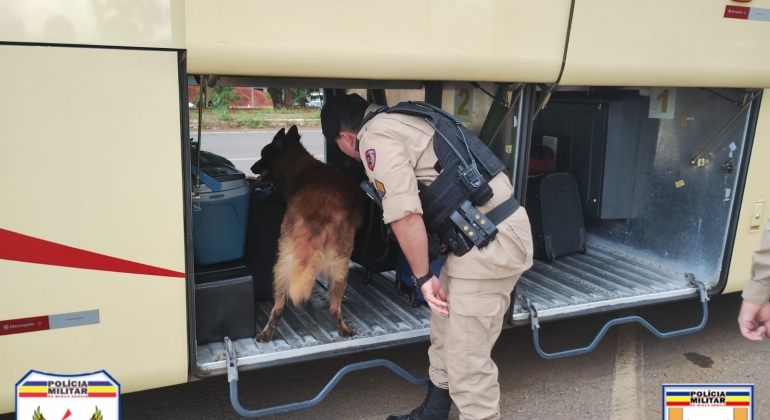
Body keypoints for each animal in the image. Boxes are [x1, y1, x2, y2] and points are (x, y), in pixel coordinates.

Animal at [249, 125, 364, 342]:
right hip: (341, 266)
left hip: (282, 266)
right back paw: (344, 330)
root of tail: (315, 219)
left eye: (262, 154)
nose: (251, 168)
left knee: (277, 308)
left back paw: (266, 334)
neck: (298, 163)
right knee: (334, 308)